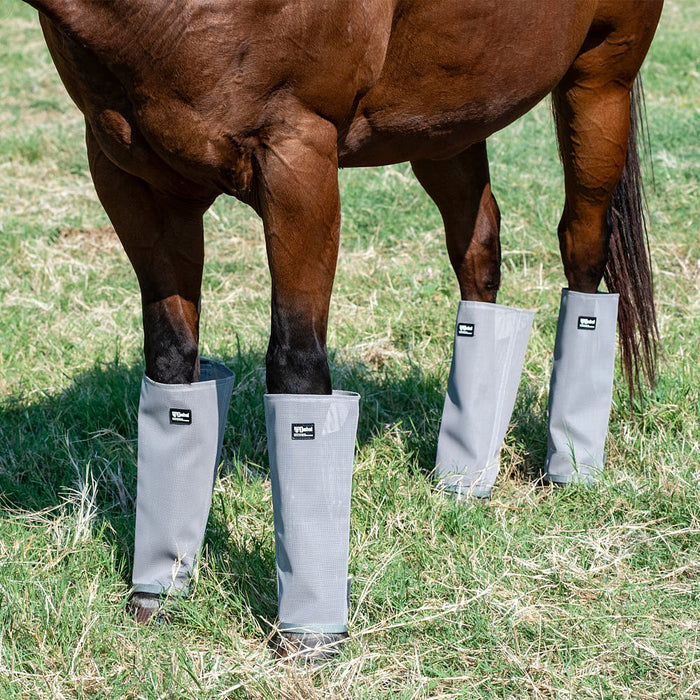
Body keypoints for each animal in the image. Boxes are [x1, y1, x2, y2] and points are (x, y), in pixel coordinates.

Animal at [21, 0, 663, 660]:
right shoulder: (135, 181)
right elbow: (173, 364)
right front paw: (159, 591)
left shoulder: (297, 161)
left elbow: (297, 365)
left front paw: (309, 631)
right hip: (449, 120)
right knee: (479, 260)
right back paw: (464, 481)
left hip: (598, 84)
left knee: (582, 255)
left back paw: (571, 470)